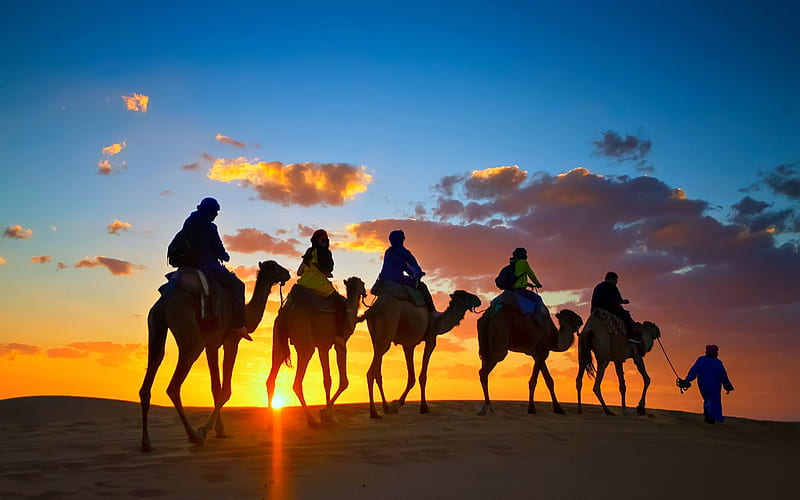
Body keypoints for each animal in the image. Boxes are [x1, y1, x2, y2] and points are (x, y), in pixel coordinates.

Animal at [141, 260, 290, 452]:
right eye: (276, 267)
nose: (288, 273)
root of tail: (166, 300)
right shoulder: (231, 340)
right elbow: (226, 390)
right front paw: (205, 430)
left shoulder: (211, 345)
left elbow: (215, 388)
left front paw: (220, 430)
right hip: (188, 332)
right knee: (174, 385)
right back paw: (194, 435)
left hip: (156, 324)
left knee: (154, 364)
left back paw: (146, 442)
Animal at [268, 278, 368, 426]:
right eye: (363, 284)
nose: (366, 292)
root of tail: (285, 312)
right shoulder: (341, 343)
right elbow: (344, 381)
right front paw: (325, 413)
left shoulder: (323, 346)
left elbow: (327, 380)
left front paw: (327, 415)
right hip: (304, 337)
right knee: (297, 381)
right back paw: (311, 419)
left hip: (278, 339)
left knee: (273, 373)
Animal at [364, 290, 482, 418]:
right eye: (465, 295)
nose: (478, 300)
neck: (438, 321)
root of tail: (376, 307)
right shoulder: (431, 339)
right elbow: (422, 376)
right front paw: (422, 407)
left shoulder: (408, 344)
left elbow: (411, 377)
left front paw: (396, 404)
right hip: (388, 325)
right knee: (371, 372)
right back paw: (374, 412)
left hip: (376, 336)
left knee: (378, 365)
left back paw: (385, 407)